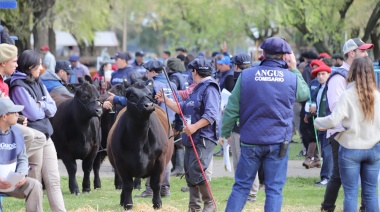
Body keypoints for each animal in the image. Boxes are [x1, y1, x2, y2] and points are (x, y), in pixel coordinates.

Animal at [106, 81, 173, 210]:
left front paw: (157, 204)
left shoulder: (160, 160)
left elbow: (156, 184)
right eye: (132, 95)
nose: (149, 105)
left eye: (149, 93)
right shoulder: (120, 163)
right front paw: (128, 204)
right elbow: (127, 185)